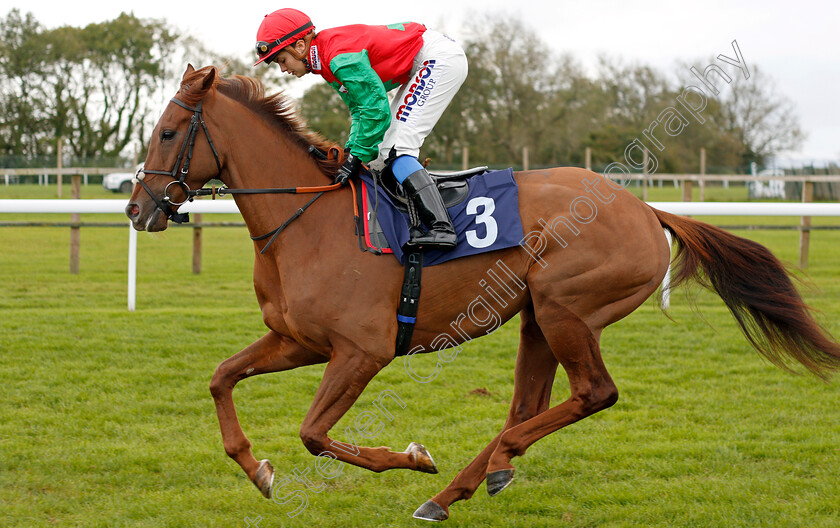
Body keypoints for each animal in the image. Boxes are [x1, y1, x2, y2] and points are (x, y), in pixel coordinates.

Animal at [126, 65, 840, 520]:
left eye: (167, 132)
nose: (138, 210)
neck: (307, 222)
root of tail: (645, 209)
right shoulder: (297, 339)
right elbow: (222, 377)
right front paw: (257, 469)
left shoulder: (362, 350)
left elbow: (314, 433)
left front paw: (413, 457)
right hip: (538, 316)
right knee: (529, 404)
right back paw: (469, 482)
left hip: (565, 306)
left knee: (593, 393)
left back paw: (471, 474)